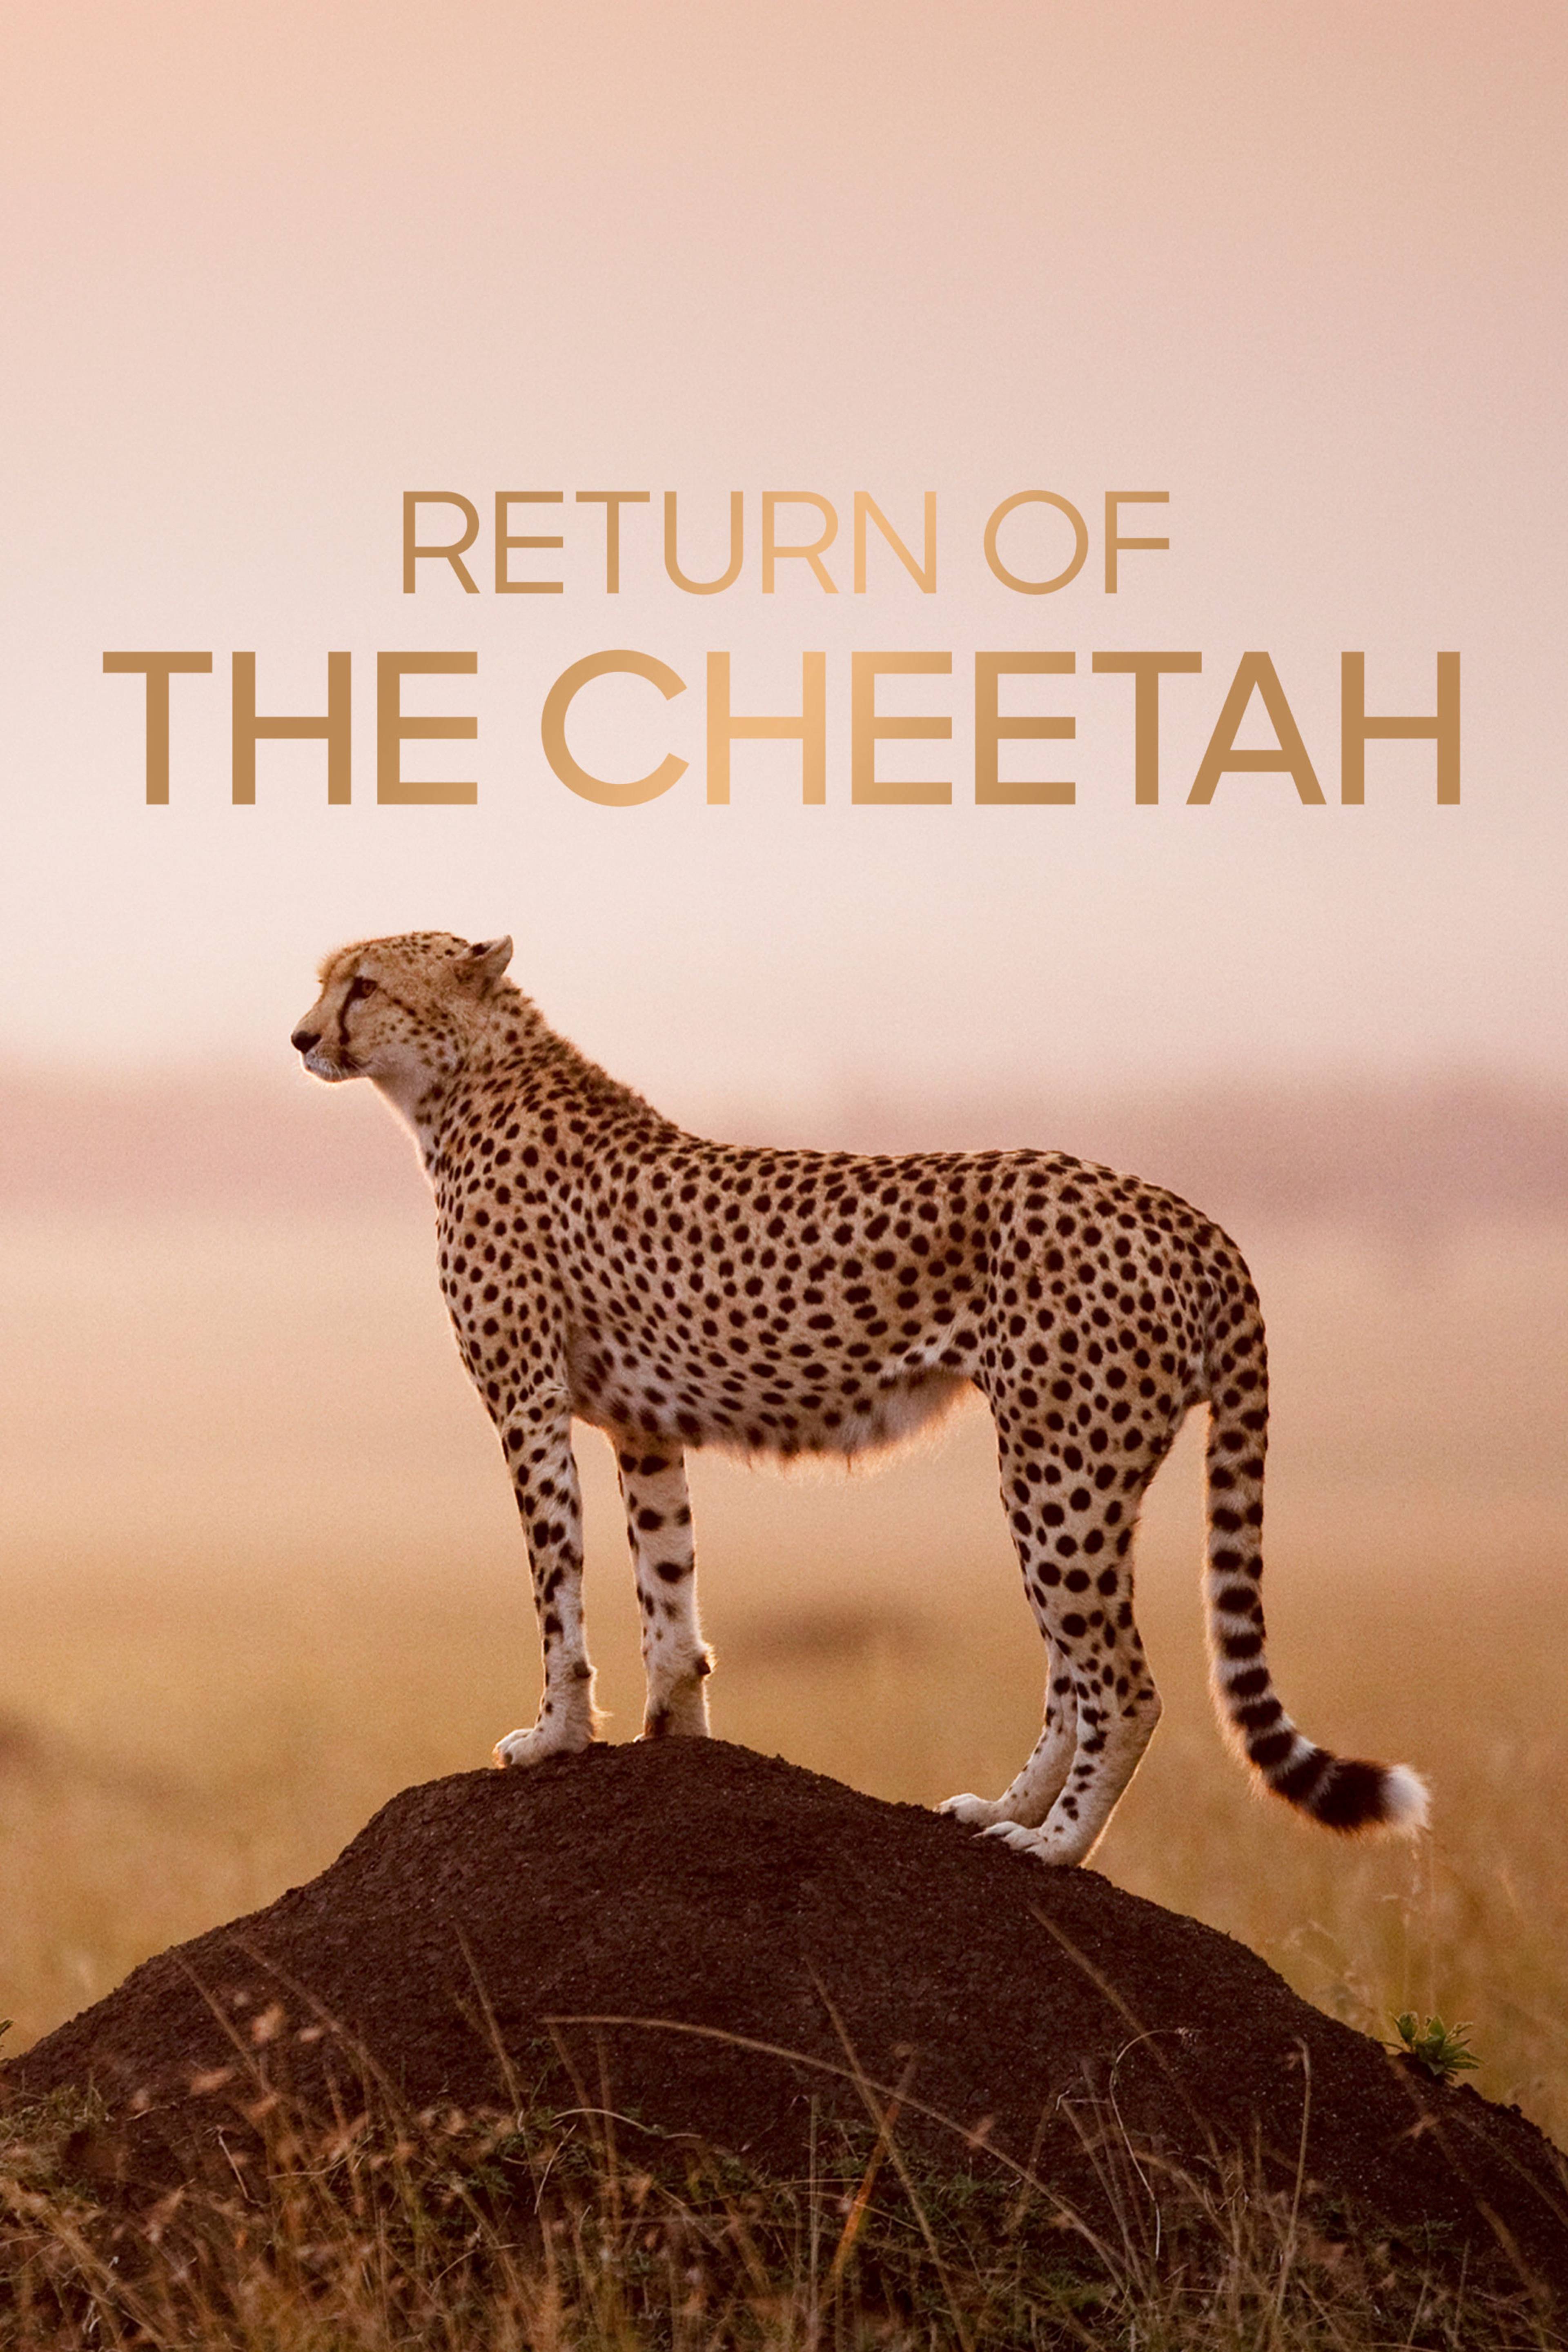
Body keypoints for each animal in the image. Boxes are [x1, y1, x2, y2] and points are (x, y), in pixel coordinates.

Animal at [291, 929, 1428, 1865]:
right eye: (329, 980)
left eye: (365, 983)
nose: (301, 1036)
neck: (466, 1083)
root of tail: (1181, 1209)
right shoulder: (642, 1425)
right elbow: (669, 1589)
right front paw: (676, 1740)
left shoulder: (527, 1401)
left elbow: (555, 1582)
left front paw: (555, 1736)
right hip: (1072, 1475)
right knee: (1073, 1673)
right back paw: (999, 1811)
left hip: (1060, 1471)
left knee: (1122, 1683)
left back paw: (1055, 1846)